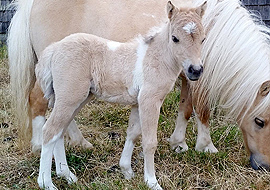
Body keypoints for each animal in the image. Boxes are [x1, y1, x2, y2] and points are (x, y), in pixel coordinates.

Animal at [32, 1, 206, 190]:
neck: (155, 58)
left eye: (203, 39)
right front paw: (152, 181)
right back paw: (46, 183)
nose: (195, 70)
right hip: (69, 98)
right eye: (175, 38)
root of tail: (54, 48)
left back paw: (67, 175)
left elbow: (133, 133)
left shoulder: (138, 102)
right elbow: (149, 142)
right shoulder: (150, 100)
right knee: (50, 131)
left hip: (77, 99)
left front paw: (126, 170)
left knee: (60, 132)